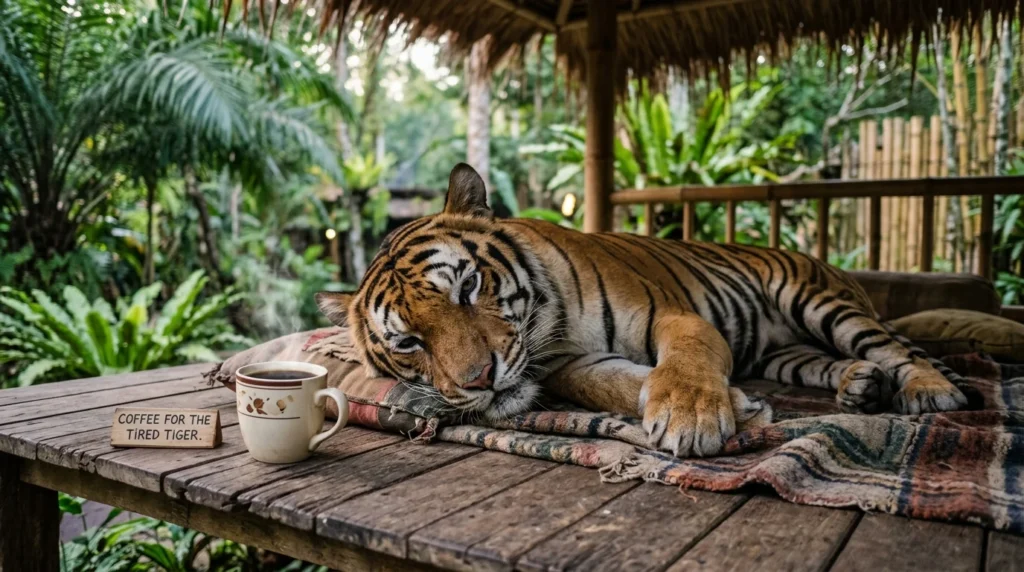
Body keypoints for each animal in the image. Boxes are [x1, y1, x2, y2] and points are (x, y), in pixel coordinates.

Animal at [316, 163, 971, 457]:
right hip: (785, 353)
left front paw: (692, 417)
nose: (480, 380)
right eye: (409, 343)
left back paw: (929, 391)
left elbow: (685, 360)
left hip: (818, 301)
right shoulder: (568, 366)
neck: (553, 326)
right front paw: (738, 405)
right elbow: (611, 385)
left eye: (469, 286)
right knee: (827, 361)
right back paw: (860, 386)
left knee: (892, 345)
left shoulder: (672, 315)